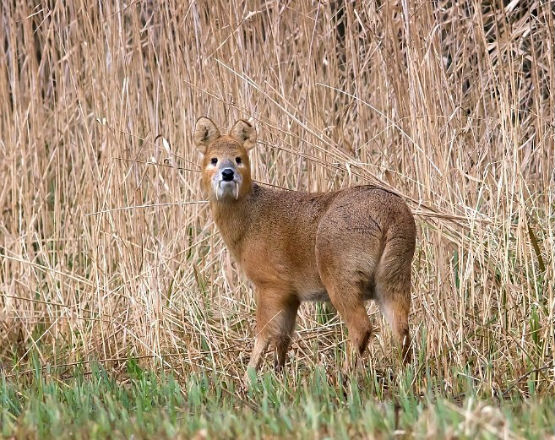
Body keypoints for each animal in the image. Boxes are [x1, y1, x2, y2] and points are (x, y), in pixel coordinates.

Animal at [193, 117, 414, 384]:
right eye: (213, 159)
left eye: (239, 158)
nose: (227, 173)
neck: (248, 224)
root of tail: (388, 216)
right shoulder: (292, 294)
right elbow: (283, 337)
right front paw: (278, 375)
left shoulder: (271, 283)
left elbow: (264, 333)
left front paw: (249, 380)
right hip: (395, 275)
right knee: (402, 329)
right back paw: (404, 378)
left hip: (341, 272)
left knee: (362, 326)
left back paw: (342, 378)